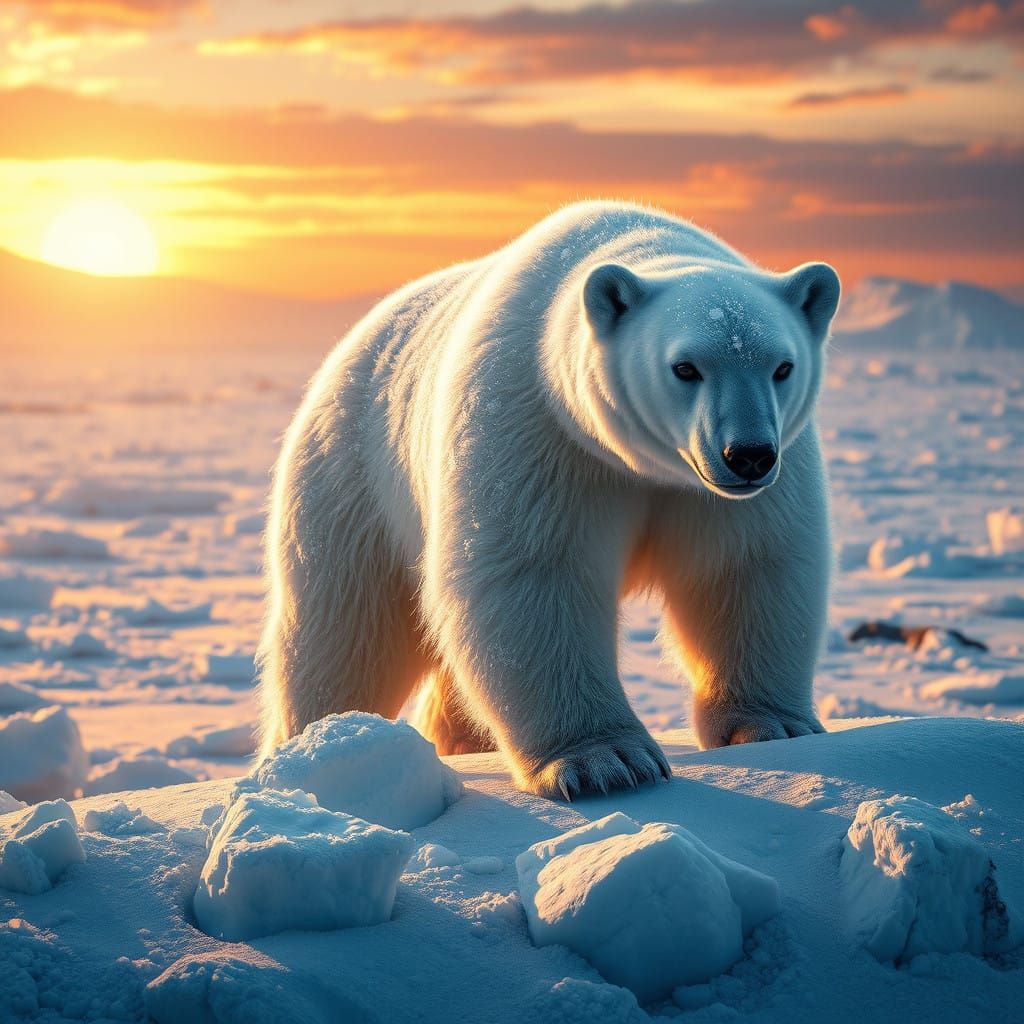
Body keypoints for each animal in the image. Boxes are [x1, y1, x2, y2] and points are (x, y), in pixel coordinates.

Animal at [257, 200, 840, 800]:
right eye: (685, 367)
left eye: (783, 366)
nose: (748, 455)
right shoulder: (536, 426)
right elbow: (535, 574)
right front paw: (607, 762)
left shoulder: (746, 482)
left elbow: (746, 567)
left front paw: (772, 727)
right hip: (354, 474)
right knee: (346, 630)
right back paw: (314, 752)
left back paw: (462, 740)